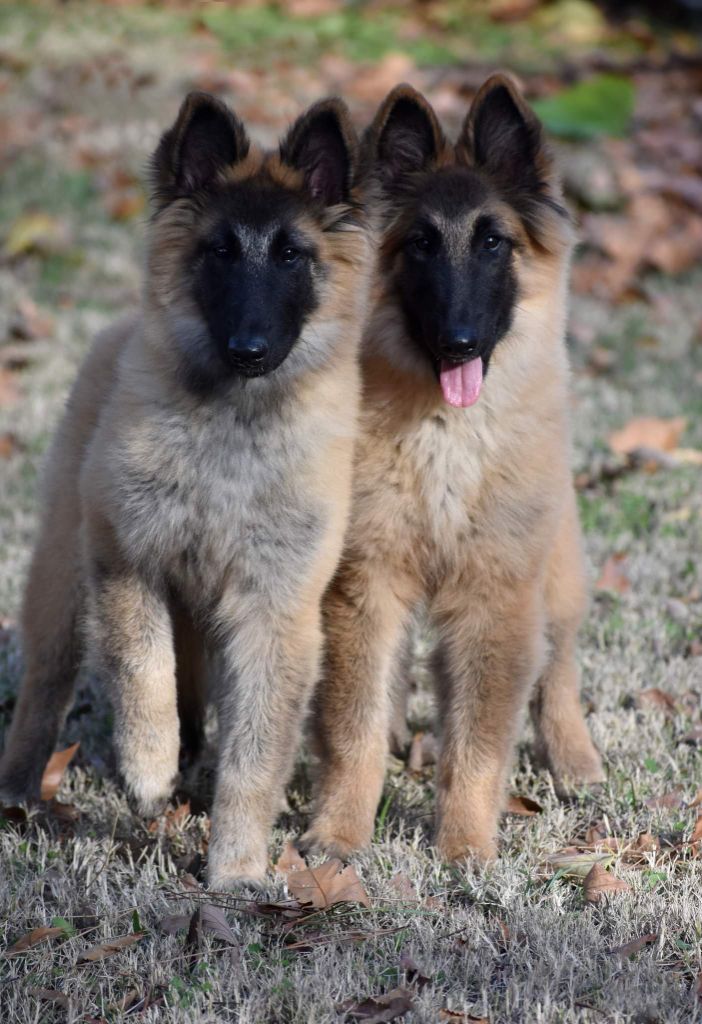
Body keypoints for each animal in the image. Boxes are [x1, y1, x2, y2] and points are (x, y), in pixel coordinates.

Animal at [0, 90, 370, 888]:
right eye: (219, 252)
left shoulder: (274, 611)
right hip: (61, 579)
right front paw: (147, 772)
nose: (249, 349)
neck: (232, 428)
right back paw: (20, 787)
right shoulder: (125, 559)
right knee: (47, 682)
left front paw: (236, 867)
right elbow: (144, 671)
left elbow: (255, 753)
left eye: (291, 255)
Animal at [304, 74, 605, 864]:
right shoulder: (365, 587)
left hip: (556, 571)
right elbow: (352, 727)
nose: (458, 341)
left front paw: (465, 845)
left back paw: (575, 758)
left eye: (493, 242)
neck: (446, 435)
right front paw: (338, 833)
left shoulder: (494, 597)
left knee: (559, 667)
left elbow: (479, 741)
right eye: (420, 245)